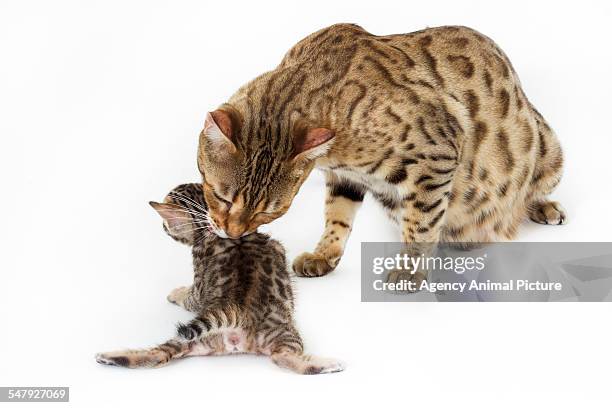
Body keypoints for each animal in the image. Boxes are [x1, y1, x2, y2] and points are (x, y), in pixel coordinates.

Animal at [95, 183, 344, 374]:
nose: (162, 227)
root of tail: (239, 315)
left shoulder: (198, 284)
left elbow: (189, 296)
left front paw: (176, 293)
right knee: (159, 354)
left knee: (282, 357)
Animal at [195, 22, 564, 284]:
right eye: (221, 196)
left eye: (268, 211)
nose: (233, 234)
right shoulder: (344, 177)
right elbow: (337, 217)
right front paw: (324, 255)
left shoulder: (437, 155)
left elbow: (421, 224)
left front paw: (411, 271)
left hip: (548, 147)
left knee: (528, 190)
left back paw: (540, 207)